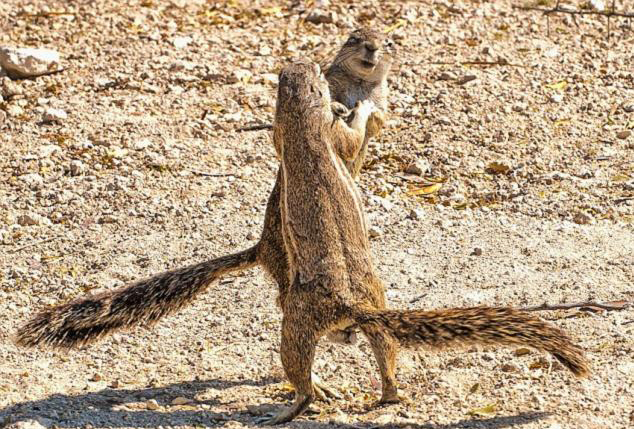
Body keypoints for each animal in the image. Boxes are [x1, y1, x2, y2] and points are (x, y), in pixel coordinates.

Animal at [14, 28, 390, 350]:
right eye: (353, 39)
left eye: (386, 41)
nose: (371, 48)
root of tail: (260, 249)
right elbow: (348, 136)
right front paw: (352, 110)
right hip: (290, 267)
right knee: (285, 302)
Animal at [258, 60, 588, 424]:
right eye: (291, 73)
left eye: (311, 69)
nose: (308, 63)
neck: (298, 113)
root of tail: (350, 303)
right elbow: (348, 141)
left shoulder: (320, 131)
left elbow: (351, 139)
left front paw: (362, 108)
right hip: (355, 314)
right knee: (379, 352)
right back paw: (386, 393)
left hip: (299, 323)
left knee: (305, 382)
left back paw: (289, 410)